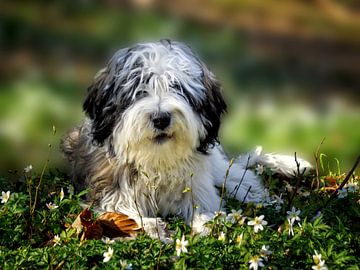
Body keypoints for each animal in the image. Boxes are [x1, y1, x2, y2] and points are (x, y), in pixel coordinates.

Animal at [60, 39, 310, 238]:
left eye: (177, 87)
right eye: (139, 90)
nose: (161, 118)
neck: (157, 158)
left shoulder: (196, 183)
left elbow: (203, 205)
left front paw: (208, 222)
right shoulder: (108, 188)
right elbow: (121, 211)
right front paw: (152, 226)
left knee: (237, 174)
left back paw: (256, 193)